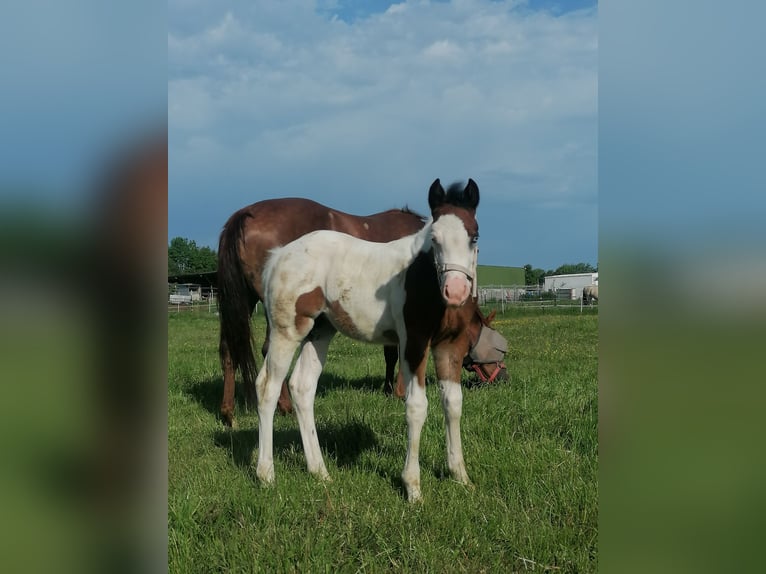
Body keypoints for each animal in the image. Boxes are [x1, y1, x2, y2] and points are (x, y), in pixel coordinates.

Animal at [254, 178, 480, 502]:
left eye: (474, 236)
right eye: (434, 239)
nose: (456, 290)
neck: (423, 278)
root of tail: (277, 256)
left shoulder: (451, 346)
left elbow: (453, 403)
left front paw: (460, 476)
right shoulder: (414, 343)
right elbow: (417, 407)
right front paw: (413, 488)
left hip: (320, 331)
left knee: (302, 387)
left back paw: (320, 472)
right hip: (287, 331)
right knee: (268, 388)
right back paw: (266, 475)